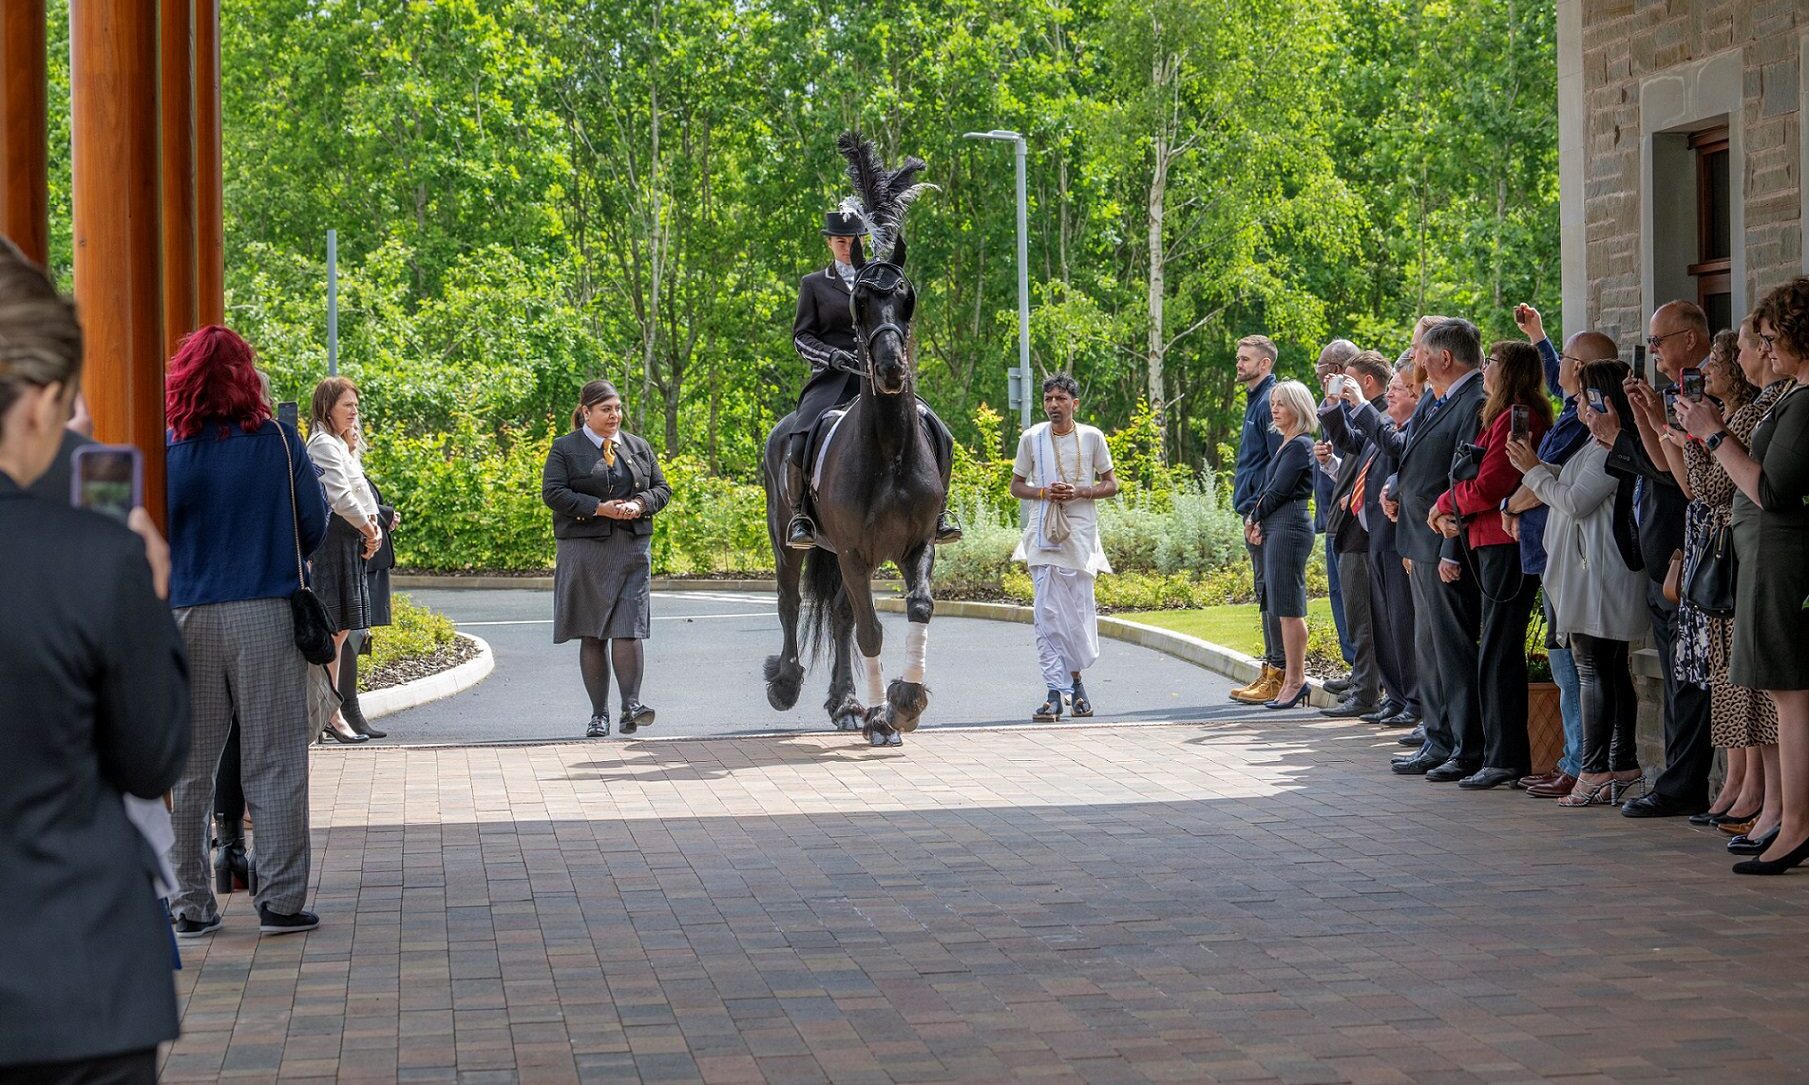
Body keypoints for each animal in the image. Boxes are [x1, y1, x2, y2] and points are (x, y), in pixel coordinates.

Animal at [759, 133, 947, 745]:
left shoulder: (917, 545)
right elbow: (869, 631)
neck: (888, 450)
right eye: (859, 302)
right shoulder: (854, 552)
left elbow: (917, 608)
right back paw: (787, 683)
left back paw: (845, 704)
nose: (889, 370)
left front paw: (905, 702)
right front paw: (884, 717)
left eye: (907, 297)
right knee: (791, 604)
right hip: (792, 540)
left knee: (838, 616)